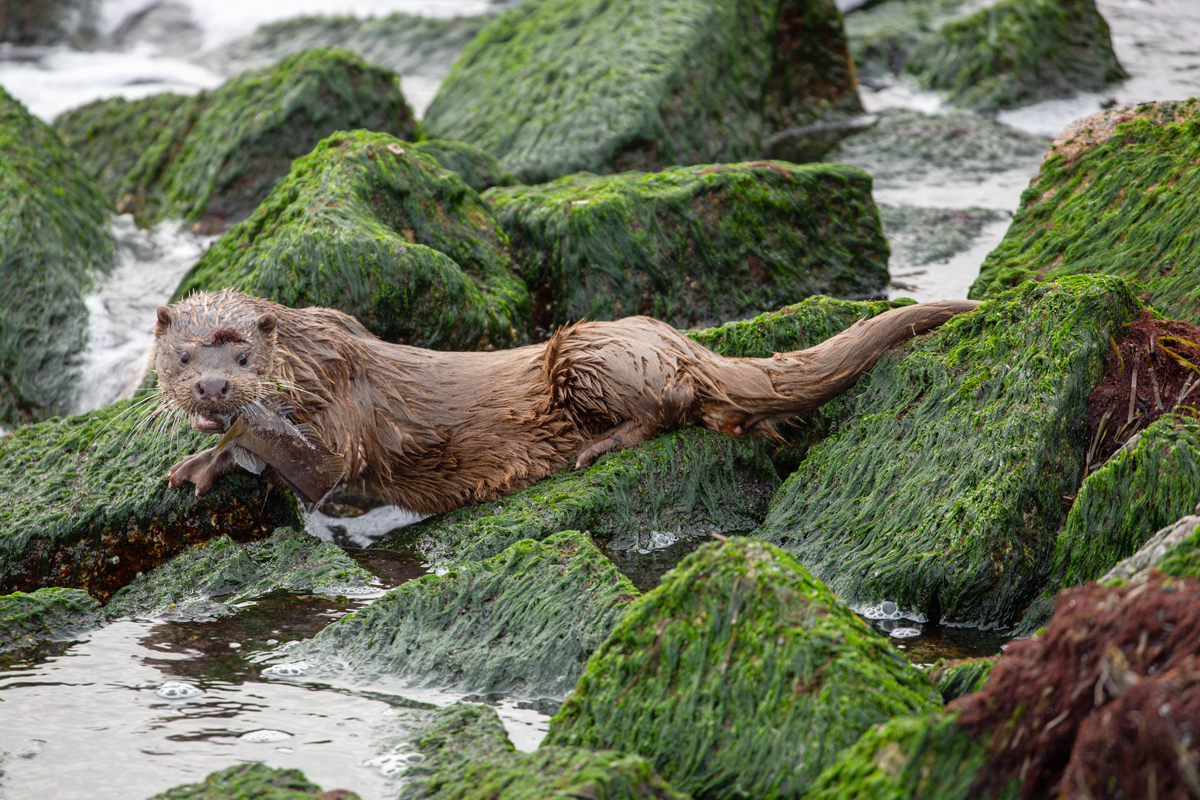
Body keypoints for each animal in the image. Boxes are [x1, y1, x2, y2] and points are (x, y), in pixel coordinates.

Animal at [152, 291, 974, 515]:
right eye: (182, 357)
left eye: (242, 353)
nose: (213, 387)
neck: (312, 366)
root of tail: (681, 340)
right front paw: (199, 462)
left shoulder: (338, 418)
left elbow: (320, 473)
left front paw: (229, 439)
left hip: (589, 350)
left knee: (668, 405)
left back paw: (598, 447)